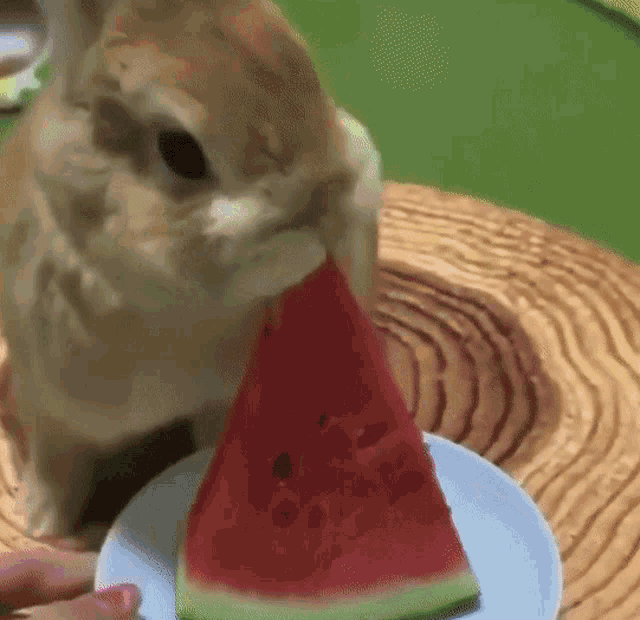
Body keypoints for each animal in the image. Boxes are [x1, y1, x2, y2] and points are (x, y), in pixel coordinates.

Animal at [0, 0, 383, 550]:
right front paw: (43, 527)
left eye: (300, 58)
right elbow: (58, 469)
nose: (328, 206)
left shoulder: (223, 402)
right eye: (180, 151)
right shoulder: (51, 405)